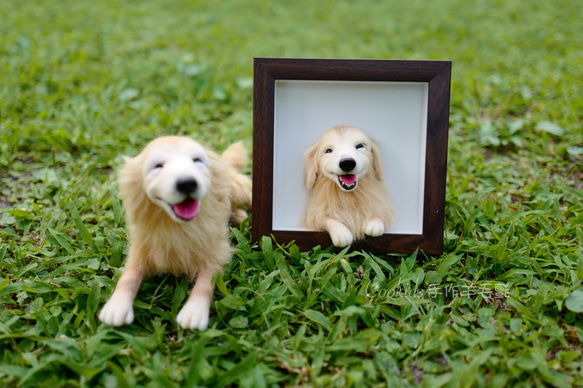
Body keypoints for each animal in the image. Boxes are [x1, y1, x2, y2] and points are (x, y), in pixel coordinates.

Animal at [98, 136, 253, 330]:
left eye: (197, 161)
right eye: (157, 166)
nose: (187, 183)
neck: (177, 226)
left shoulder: (216, 252)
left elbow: (205, 283)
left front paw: (194, 311)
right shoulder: (142, 249)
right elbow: (128, 277)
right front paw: (117, 305)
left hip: (239, 189)